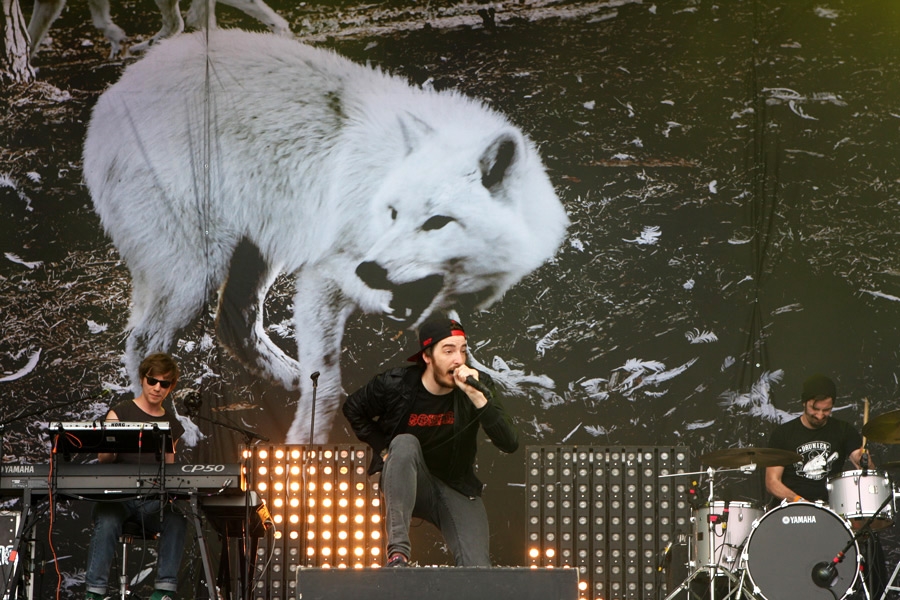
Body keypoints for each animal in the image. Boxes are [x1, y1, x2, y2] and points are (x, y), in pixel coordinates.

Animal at [82, 29, 564, 440]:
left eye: (437, 221)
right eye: (392, 213)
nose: (370, 270)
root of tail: (111, 96)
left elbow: (454, 339)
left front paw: (494, 382)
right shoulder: (323, 279)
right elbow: (329, 385)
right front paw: (306, 447)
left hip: (254, 254)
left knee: (232, 323)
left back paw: (290, 377)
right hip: (196, 276)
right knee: (144, 342)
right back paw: (173, 427)